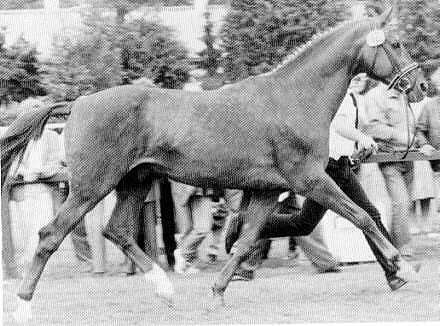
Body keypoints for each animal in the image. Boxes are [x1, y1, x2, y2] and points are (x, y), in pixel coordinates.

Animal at [0, 6, 426, 320]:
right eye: (397, 43)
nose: (421, 86)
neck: (294, 99)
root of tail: (77, 104)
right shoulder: (309, 179)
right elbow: (363, 216)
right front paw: (403, 268)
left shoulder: (267, 190)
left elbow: (246, 241)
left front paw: (216, 294)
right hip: (92, 185)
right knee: (50, 235)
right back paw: (23, 308)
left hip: (134, 181)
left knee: (116, 230)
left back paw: (167, 292)